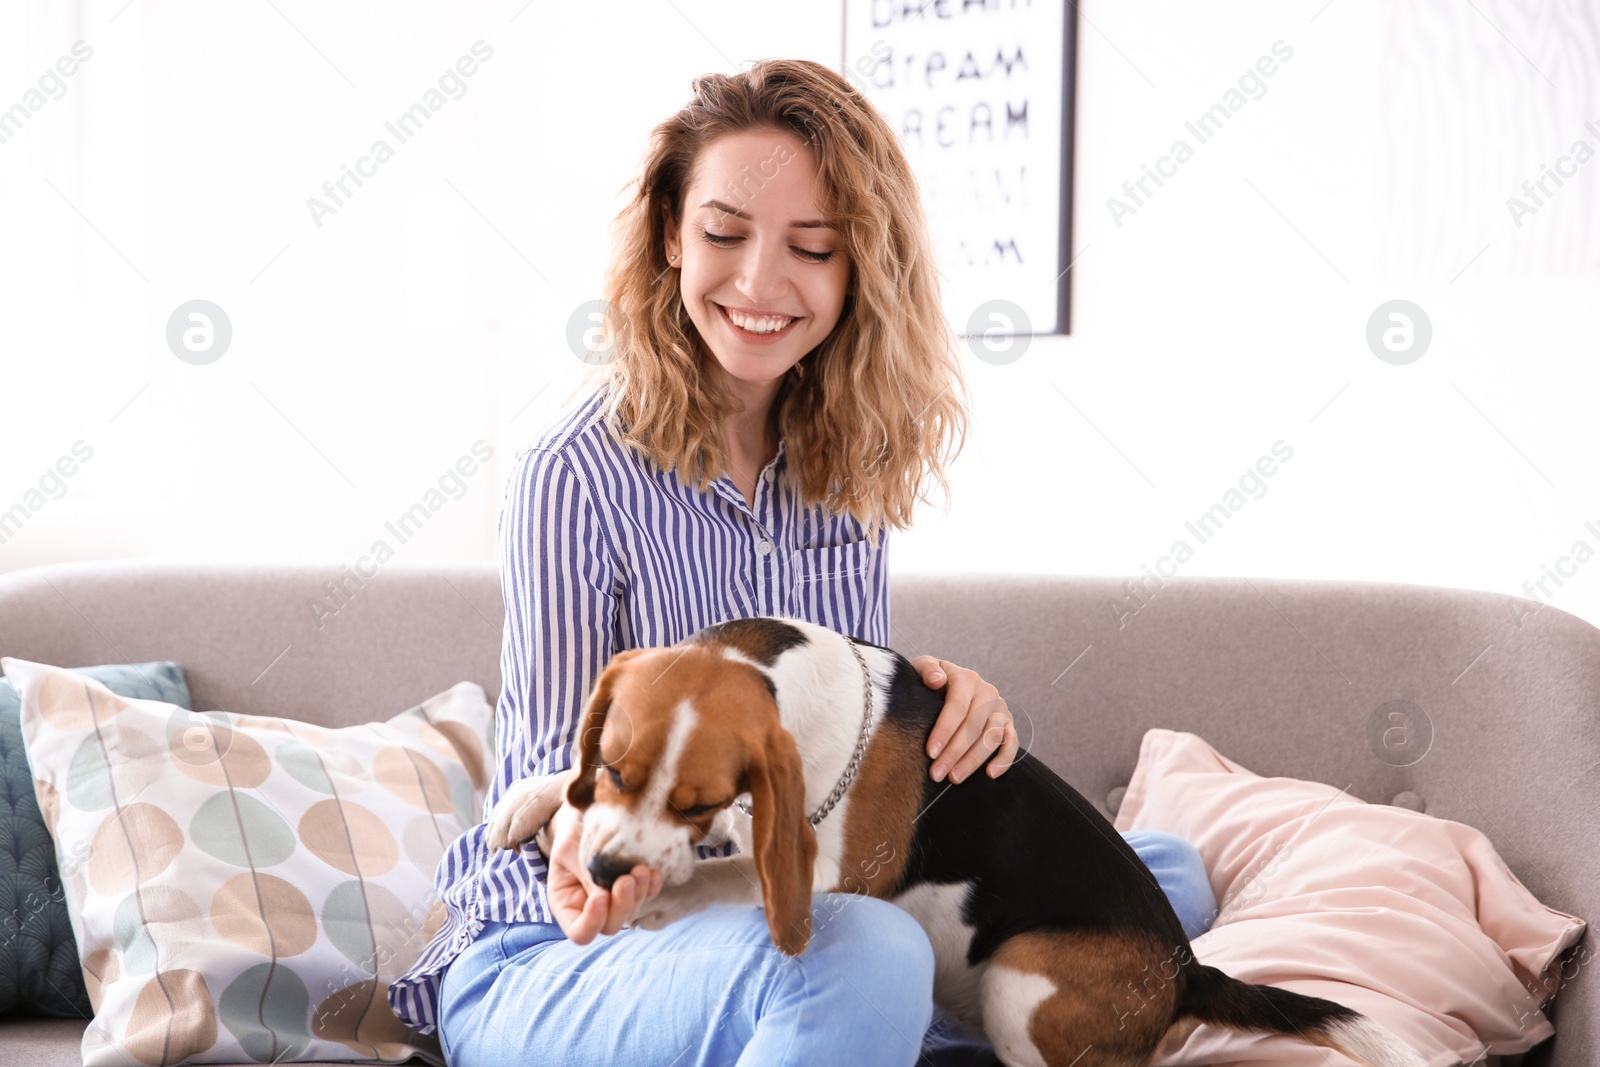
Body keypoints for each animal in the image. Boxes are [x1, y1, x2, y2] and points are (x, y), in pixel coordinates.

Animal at [486, 617, 1427, 1067]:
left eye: (701, 799)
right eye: (611, 766)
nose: (604, 866)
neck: (779, 675)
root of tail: (1188, 966)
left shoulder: (833, 871)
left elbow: (736, 877)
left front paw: (650, 895)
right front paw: (534, 796)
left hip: (1021, 976)